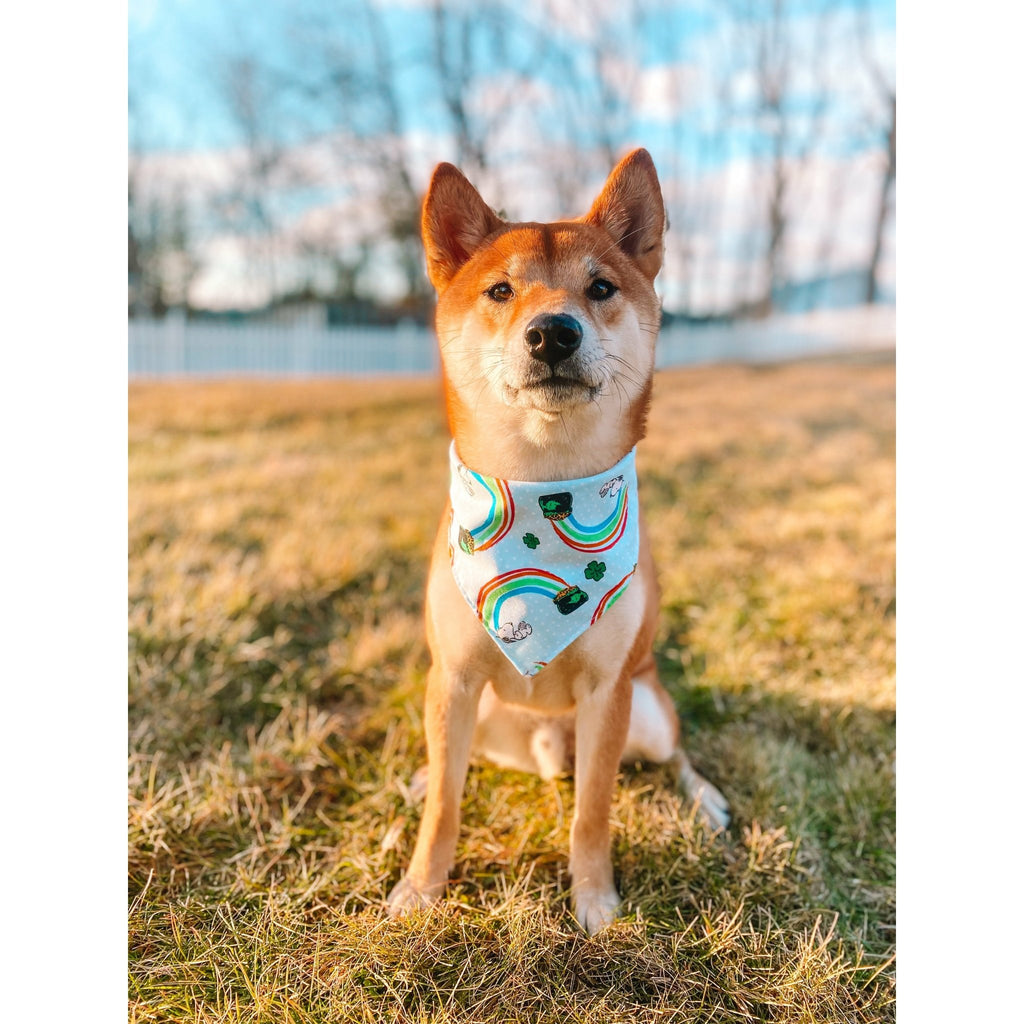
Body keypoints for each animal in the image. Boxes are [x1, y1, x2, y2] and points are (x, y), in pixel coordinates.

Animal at [385, 146, 729, 937]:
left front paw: (595, 901)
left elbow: (592, 811)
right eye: (500, 290)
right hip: (478, 713)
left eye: (600, 287)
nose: (553, 332)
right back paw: (417, 776)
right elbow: (447, 806)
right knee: (453, 765)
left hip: (648, 707)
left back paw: (705, 799)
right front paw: (421, 888)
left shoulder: (609, 693)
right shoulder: (453, 678)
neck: (544, 486)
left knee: (676, 754)